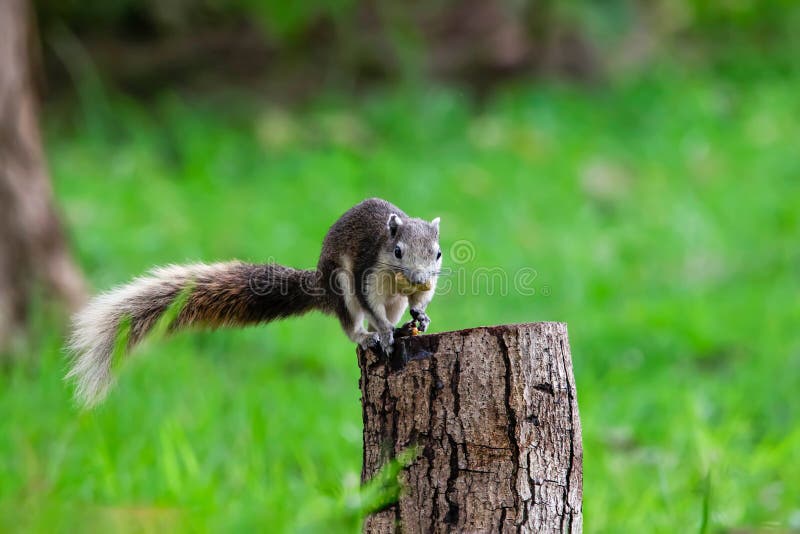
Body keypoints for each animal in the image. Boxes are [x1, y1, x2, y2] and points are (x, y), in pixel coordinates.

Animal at [67, 198, 442, 406]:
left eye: (437, 254)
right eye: (397, 251)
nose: (419, 277)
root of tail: (320, 282)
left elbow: (419, 300)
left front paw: (421, 315)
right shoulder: (367, 273)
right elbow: (371, 306)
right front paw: (384, 332)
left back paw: (406, 326)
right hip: (341, 287)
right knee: (351, 323)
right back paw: (370, 335)